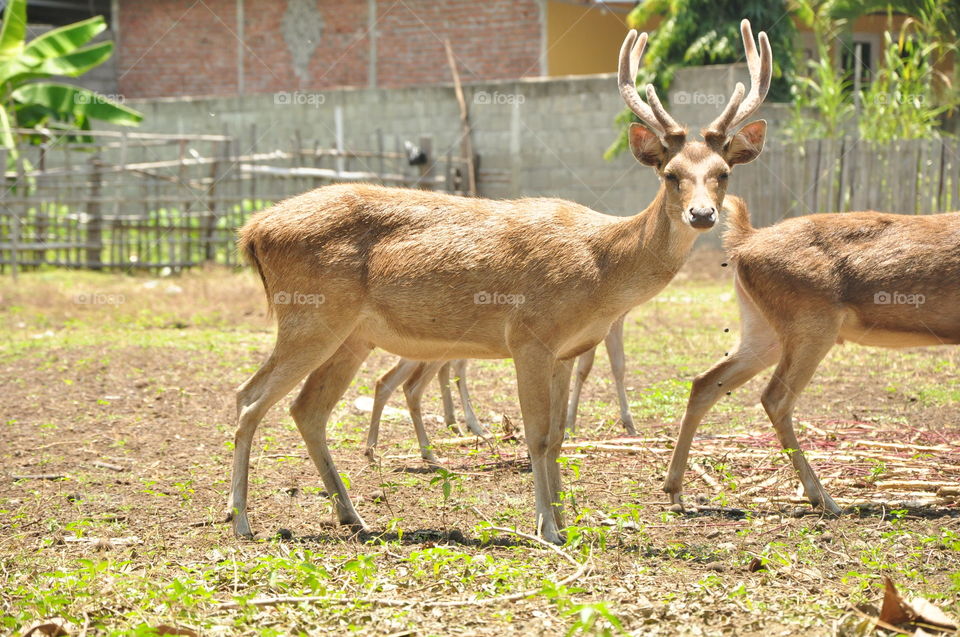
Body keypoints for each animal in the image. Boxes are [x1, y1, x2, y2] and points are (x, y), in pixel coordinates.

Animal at [228, 19, 772, 543]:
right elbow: (536, 435)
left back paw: (352, 516)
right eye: (671, 174)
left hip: (351, 335)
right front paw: (546, 527)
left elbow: (558, 436)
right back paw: (241, 519)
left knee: (305, 409)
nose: (702, 215)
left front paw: (566, 521)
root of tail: (253, 231)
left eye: (723, 172)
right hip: (310, 314)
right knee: (249, 399)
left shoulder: (566, 349)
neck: (601, 268)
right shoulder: (529, 335)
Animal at [663, 198, 960, 514]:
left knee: (706, 381)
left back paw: (675, 491)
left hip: (762, 328)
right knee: (774, 397)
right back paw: (824, 498)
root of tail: (744, 242)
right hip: (812, 322)